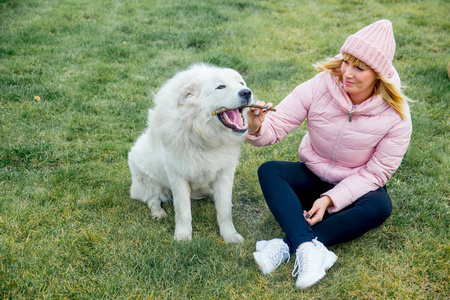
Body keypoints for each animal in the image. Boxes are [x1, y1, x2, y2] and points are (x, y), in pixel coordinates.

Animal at [128, 64, 251, 243]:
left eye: (241, 83)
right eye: (220, 87)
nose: (247, 92)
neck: (203, 135)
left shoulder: (225, 174)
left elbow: (224, 211)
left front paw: (230, 236)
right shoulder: (178, 177)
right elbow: (183, 212)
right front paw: (183, 237)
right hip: (147, 177)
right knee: (152, 199)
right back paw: (158, 213)